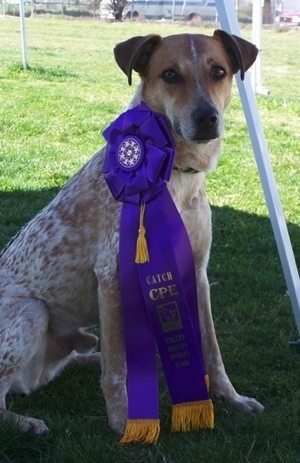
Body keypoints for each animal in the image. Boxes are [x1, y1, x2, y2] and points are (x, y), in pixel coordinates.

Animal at [0, 30, 262, 436]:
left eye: (218, 71)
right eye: (170, 75)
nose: (207, 118)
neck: (176, 175)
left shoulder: (197, 272)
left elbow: (212, 350)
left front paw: (232, 398)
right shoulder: (112, 277)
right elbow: (118, 371)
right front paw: (125, 423)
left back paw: (90, 357)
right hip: (31, 311)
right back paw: (26, 422)